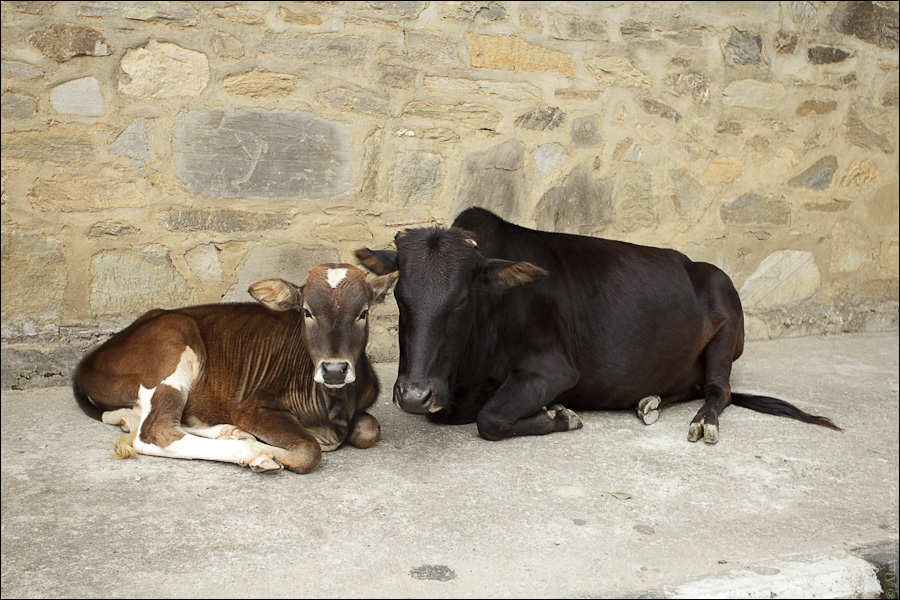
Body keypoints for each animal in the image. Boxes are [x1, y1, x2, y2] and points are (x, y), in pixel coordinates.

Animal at [72, 263, 396, 473]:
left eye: (363, 313)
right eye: (307, 311)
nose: (334, 369)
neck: (332, 405)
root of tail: (88, 360)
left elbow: (370, 429)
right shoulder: (251, 407)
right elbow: (308, 451)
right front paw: (264, 450)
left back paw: (228, 431)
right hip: (172, 347)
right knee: (154, 431)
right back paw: (250, 450)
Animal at [356, 207, 841, 444]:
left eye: (460, 301)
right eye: (399, 297)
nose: (414, 396)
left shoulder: (555, 369)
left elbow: (491, 419)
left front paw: (561, 416)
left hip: (727, 337)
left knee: (719, 390)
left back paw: (704, 422)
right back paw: (648, 400)